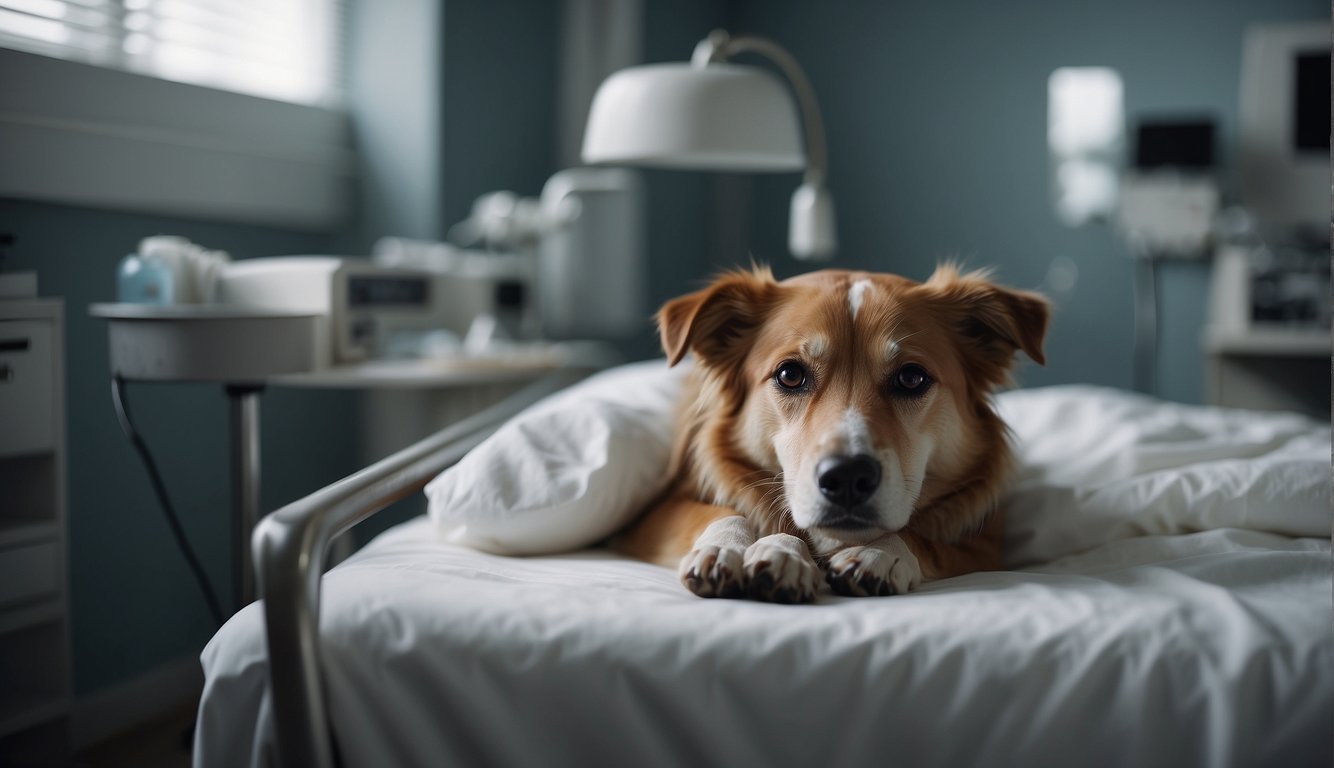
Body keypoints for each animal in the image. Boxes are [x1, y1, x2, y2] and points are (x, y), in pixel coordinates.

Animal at [616, 266, 1051, 602]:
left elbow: (924, 540)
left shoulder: (986, 543)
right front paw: (739, 548)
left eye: (912, 378)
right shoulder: (654, 514)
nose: (847, 478)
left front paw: (881, 554)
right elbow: (722, 510)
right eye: (790, 374)